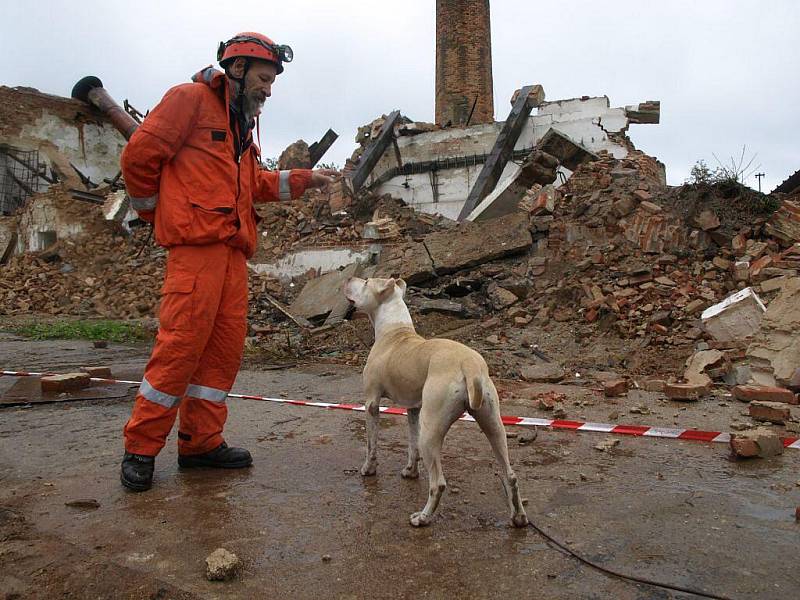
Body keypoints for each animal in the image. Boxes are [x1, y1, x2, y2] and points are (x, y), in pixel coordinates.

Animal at [344, 276, 532, 528]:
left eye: (366, 282)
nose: (348, 278)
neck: (393, 330)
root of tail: (469, 364)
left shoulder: (371, 403)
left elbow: (371, 444)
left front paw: (368, 469)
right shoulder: (413, 409)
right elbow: (412, 444)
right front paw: (410, 471)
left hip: (432, 430)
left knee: (438, 483)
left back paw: (422, 518)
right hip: (492, 422)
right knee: (510, 474)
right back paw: (518, 517)